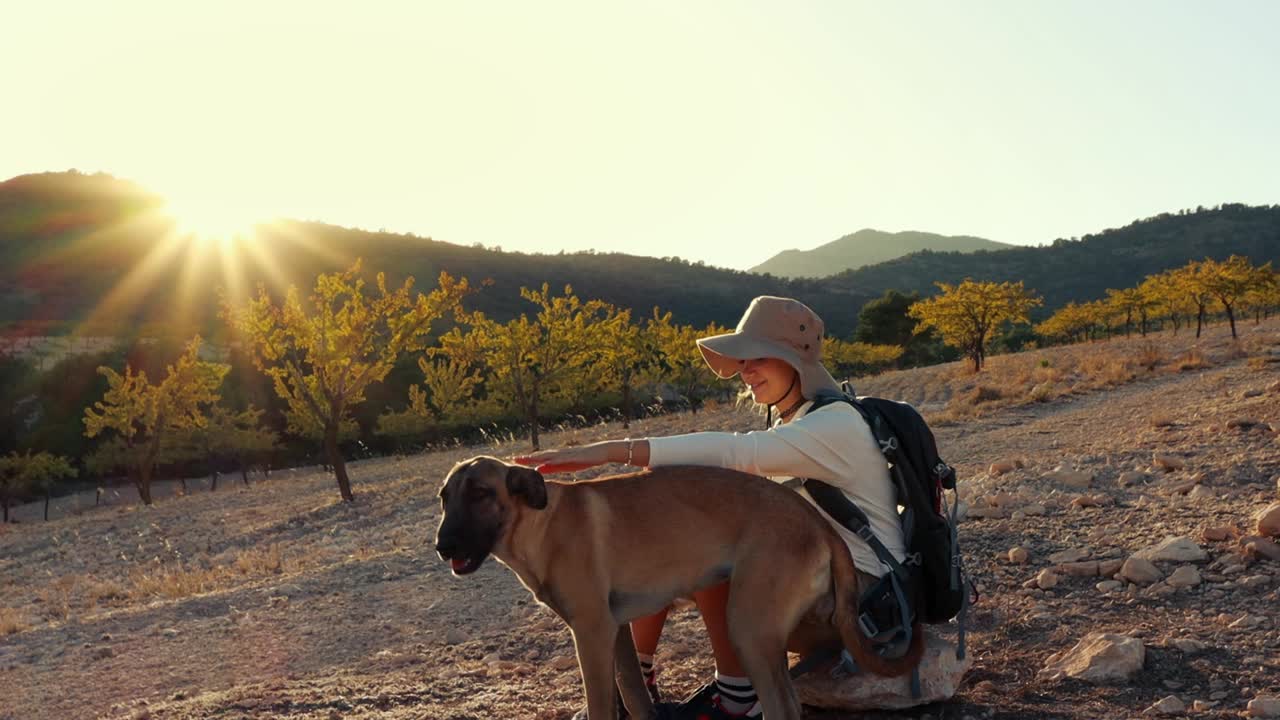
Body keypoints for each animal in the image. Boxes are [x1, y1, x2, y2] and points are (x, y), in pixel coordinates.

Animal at [437, 456, 921, 712]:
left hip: (747, 626)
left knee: (782, 705)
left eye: (480, 494)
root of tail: (817, 523)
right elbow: (634, 697)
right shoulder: (615, 633)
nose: (442, 547)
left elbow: (601, 705)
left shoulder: (591, 634)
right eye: (444, 498)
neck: (541, 526)